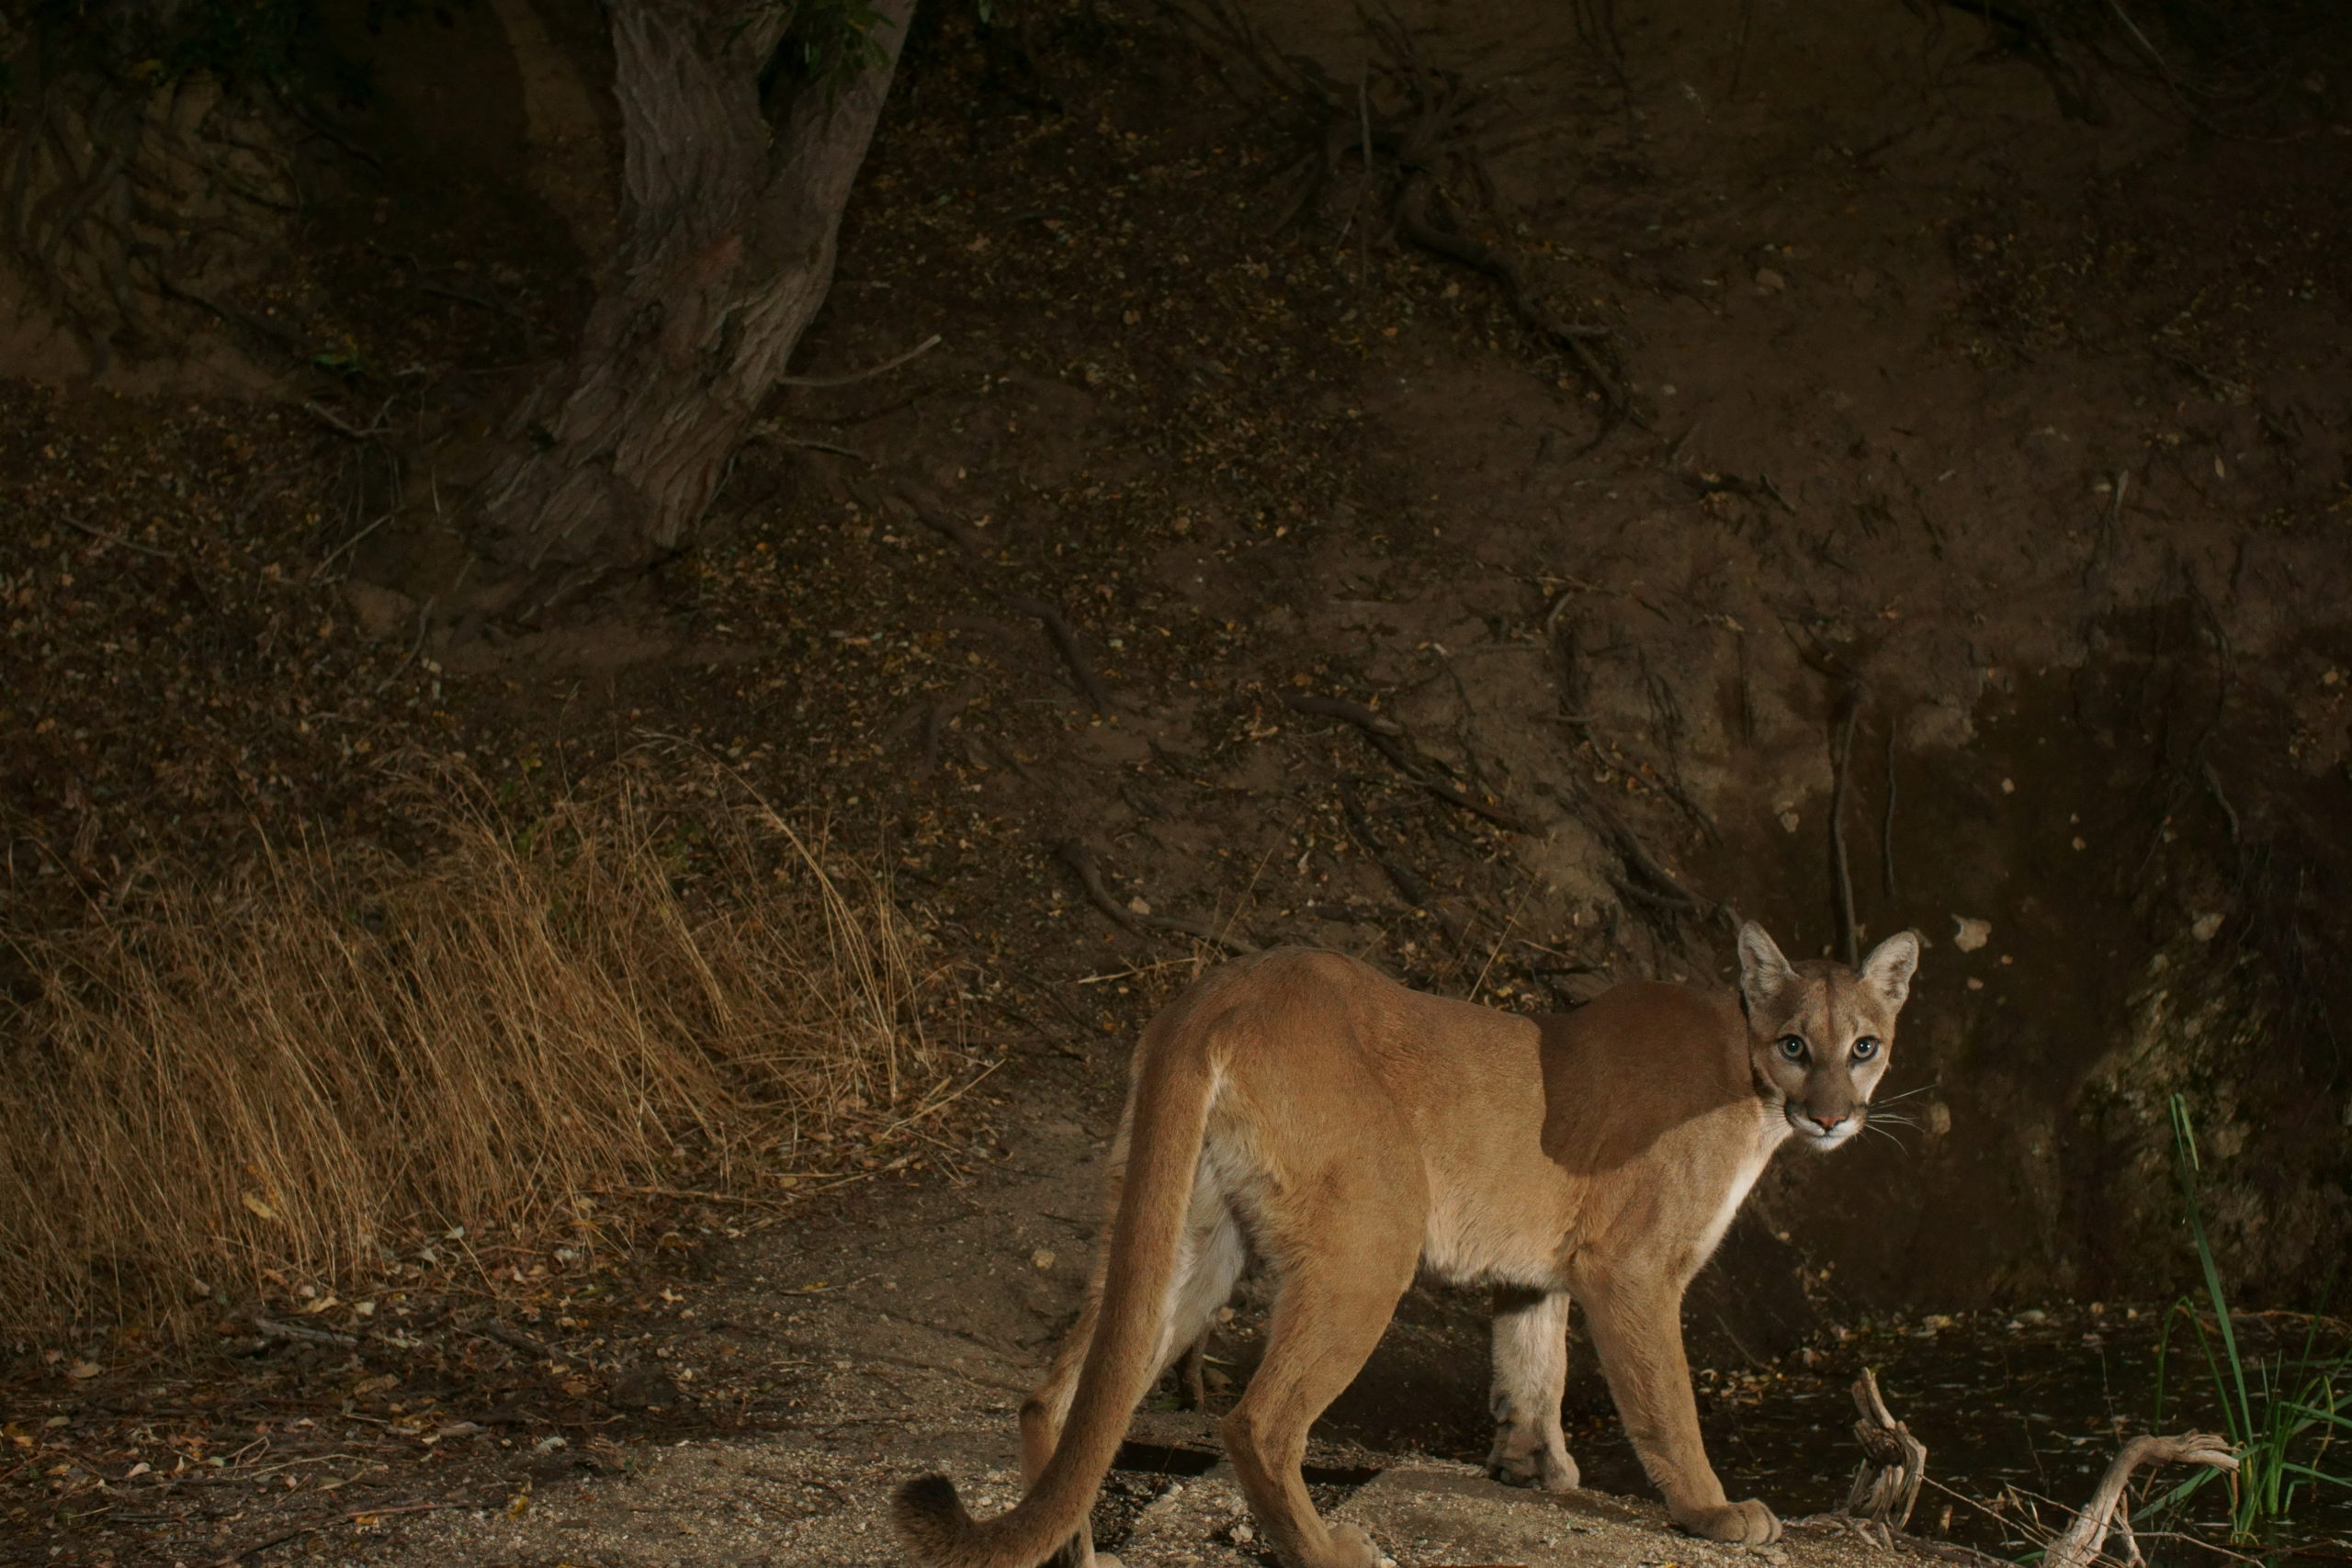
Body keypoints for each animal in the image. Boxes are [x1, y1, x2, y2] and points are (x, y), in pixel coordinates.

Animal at [888, 921, 1918, 1568]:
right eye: (1796, 1043)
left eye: (1864, 1045)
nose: (1832, 1115)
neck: (1744, 1078)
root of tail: (1224, 987)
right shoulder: (1630, 1269)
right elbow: (1665, 1403)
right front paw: (1712, 1509)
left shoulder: (1537, 1275)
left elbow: (1531, 1369)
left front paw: (1534, 1471)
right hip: (1369, 1240)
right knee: (1257, 1422)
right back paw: (1330, 1551)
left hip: (1192, 1242)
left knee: (1059, 1393)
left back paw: (1078, 1549)